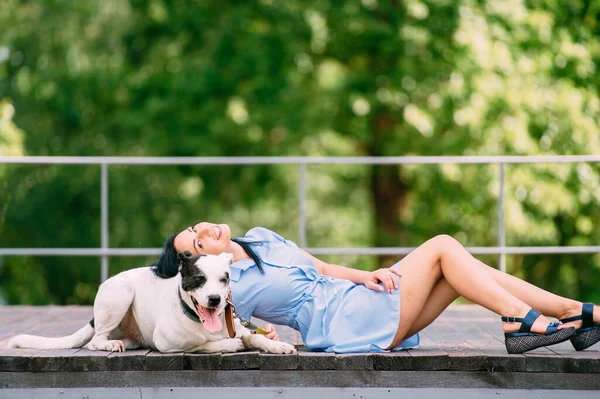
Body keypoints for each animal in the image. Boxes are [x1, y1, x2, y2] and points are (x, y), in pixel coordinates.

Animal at [7, 252, 298, 354]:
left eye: (224, 279)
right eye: (199, 279)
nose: (215, 299)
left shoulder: (236, 326)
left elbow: (252, 336)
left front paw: (277, 345)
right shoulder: (167, 343)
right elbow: (201, 344)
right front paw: (226, 345)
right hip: (120, 292)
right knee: (94, 341)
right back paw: (107, 344)